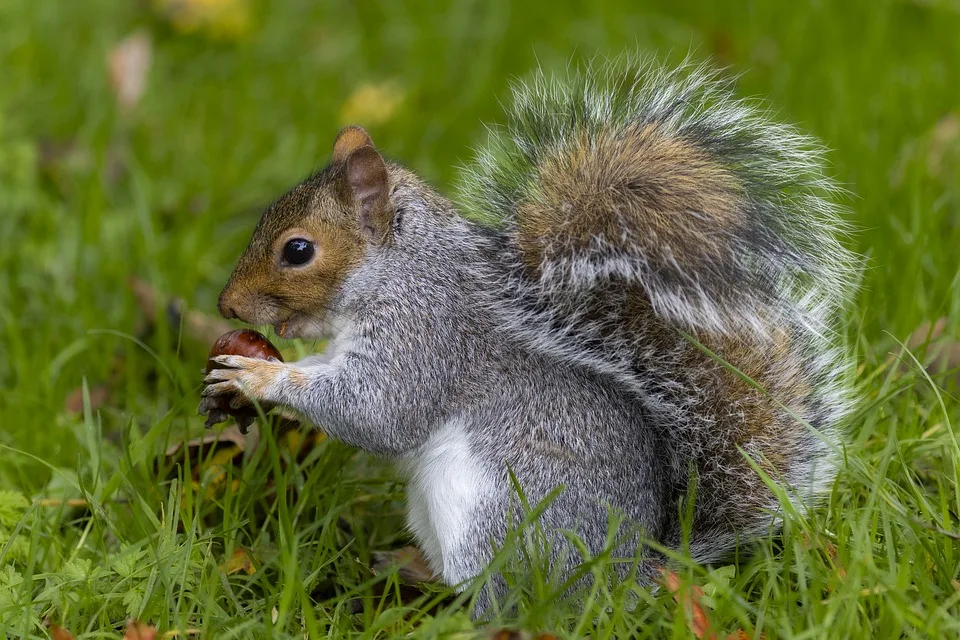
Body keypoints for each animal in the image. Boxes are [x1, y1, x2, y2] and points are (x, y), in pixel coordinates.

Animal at [199, 58, 860, 608]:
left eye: (298, 250)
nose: (226, 305)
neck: (398, 269)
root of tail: (624, 577)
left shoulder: (426, 335)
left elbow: (379, 413)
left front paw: (259, 376)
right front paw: (238, 377)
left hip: (496, 517)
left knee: (507, 597)